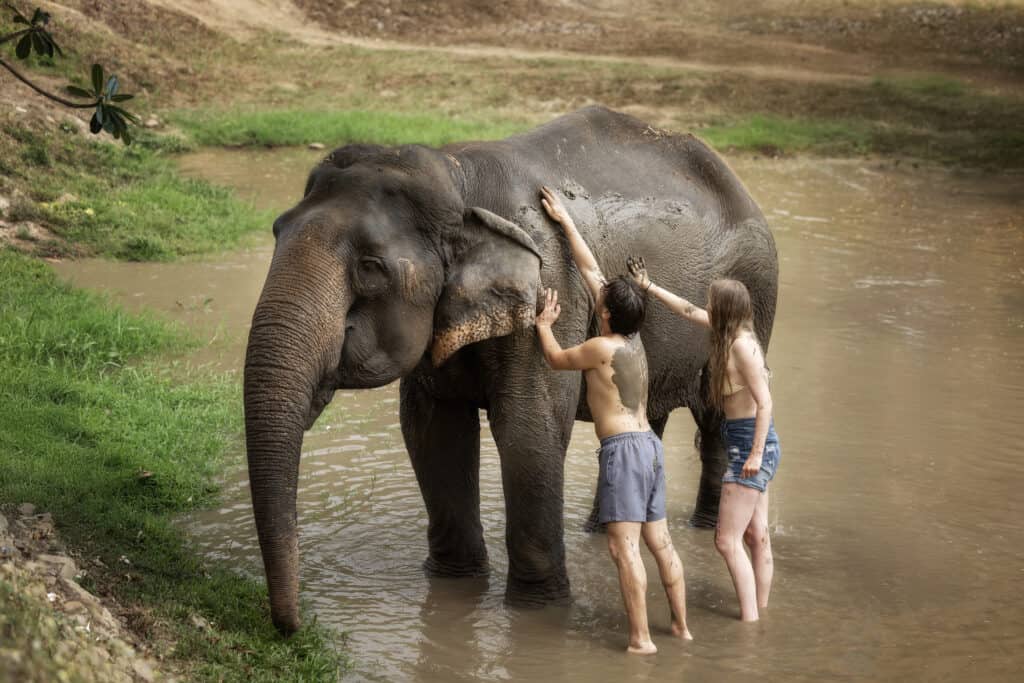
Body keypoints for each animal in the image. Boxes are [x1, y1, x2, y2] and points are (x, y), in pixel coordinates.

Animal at [243, 105, 778, 633]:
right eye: (275, 231)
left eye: (372, 267)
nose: (296, 625)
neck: (456, 177)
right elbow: (433, 429)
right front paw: (454, 585)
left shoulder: (552, 280)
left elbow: (528, 429)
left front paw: (537, 610)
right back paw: (599, 527)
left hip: (754, 290)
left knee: (718, 415)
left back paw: (705, 525)